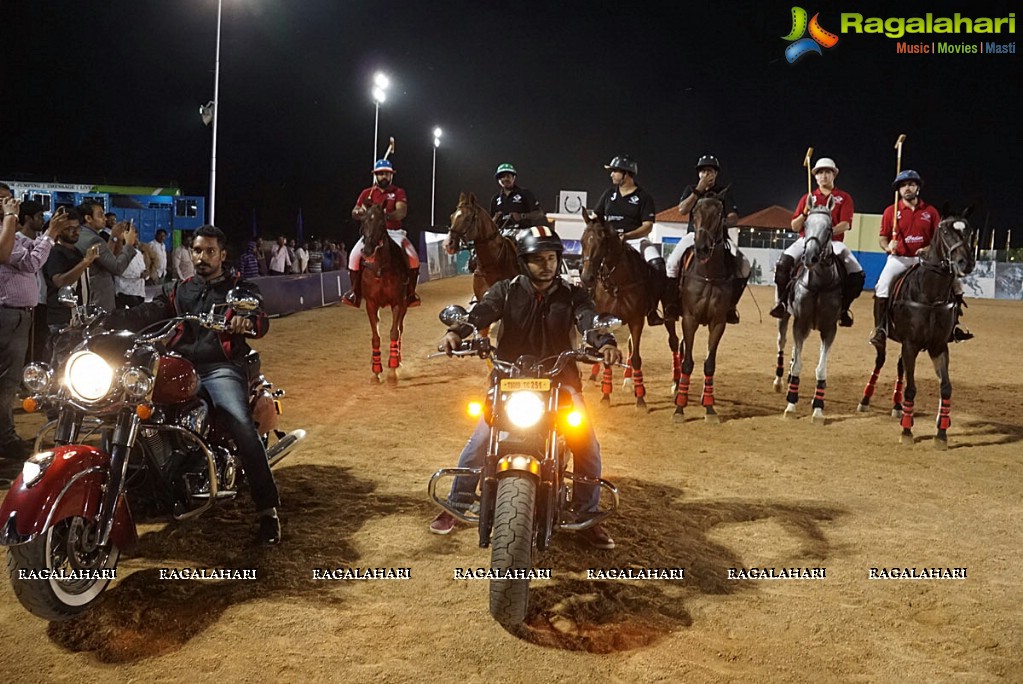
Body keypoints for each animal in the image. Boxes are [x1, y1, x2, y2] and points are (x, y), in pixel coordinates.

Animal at [358, 202, 409, 384]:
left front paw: (392, 369)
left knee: (400, 330)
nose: (367, 250)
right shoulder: (371, 304)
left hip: (405, 304)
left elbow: (394, 332)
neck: (380, 267)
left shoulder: (398, 302)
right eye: (364, 221)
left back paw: (398, 361)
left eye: (382, 223)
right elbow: (375, 338)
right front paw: (375, 371)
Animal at [581, 208, 658, 408]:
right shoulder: (605, 319)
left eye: (603, 241)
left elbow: (636, 357)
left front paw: (640, 397)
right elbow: (607, 355)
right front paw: (605, 395)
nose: (586, 278)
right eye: (582, 240)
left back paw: (630, 382)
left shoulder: (637, 320)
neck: (618, 283)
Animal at [666, 191, 740, 421]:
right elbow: (688, 362)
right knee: (675, 344)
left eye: (719, 214)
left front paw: (709, 407)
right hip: (671, 317)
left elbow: (709, 363)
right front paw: (679, 407)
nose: (702, 248)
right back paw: (676, 385)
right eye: (695, 211)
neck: (709, 274)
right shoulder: (690, 319)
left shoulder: (718, 322)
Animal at [769, 197, 842, 421]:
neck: (819, 284)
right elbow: (798, 364)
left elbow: (821, 369)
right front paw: (791, 405)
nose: (809, 257)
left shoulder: (829, 329)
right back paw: (780, 381)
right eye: (806, 224)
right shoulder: (800, 323)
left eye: (829, 228)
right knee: (782, 342)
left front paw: (818, 407)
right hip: (785, 316)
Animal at [855, 213, 973, 447]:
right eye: (945, 231)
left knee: (900, 366)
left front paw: (941, 433)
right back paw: (865, 399)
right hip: (888, 337)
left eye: (969, 231)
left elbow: (946, 387)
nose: (967, 263)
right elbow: (911, 388)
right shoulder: (911, 344)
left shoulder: (938, 346)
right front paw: (907, 431)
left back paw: (897, 406)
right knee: (880, 360)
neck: (931, 295)